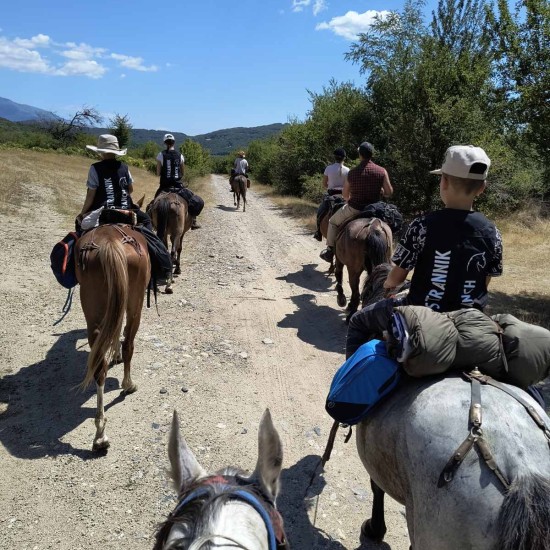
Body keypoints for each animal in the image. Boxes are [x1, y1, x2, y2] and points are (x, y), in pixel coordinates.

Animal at [75, 224, 151, 452]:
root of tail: (110, 242)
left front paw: (114, 354)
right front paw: (117, 355)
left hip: (94, 310)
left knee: (99, 364)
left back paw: (100, 435)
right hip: (135, 305)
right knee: (129, 344)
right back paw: (128, 384)